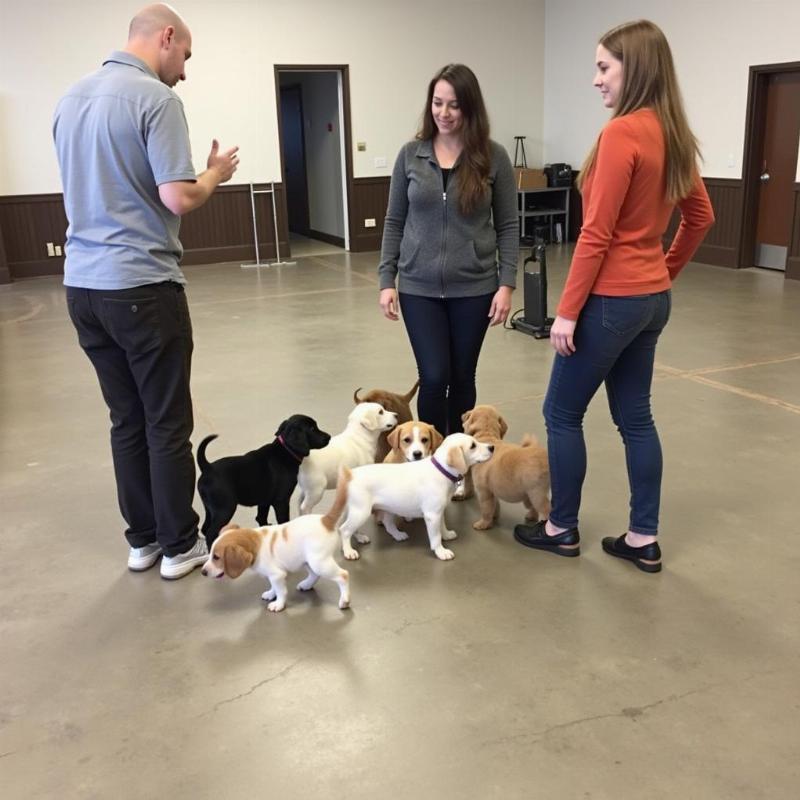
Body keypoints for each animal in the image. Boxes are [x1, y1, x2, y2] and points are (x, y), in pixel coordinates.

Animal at [195, 416, 330, 548]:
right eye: (312, 429)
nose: (329, 437)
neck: (285, 451)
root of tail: (208, 468)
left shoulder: (264, 501)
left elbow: (261, 518)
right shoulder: (281, 501)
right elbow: (283, 521)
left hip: (210, 508)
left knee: (205, 528)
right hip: (225, 508)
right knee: (210, 533)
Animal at [202, 476, 352, 612]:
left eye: (216, 557)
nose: (203, 572)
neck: (255, 542)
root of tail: (326, 520)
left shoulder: (277, 575)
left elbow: (281, 591)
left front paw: (278, 604)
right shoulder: (274, 576)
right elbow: (274, 587)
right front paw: (270, 594)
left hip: (320, 563)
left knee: (343, 575)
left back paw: (344, 600)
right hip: (307, 561)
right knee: (315, 575)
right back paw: (306, 585)